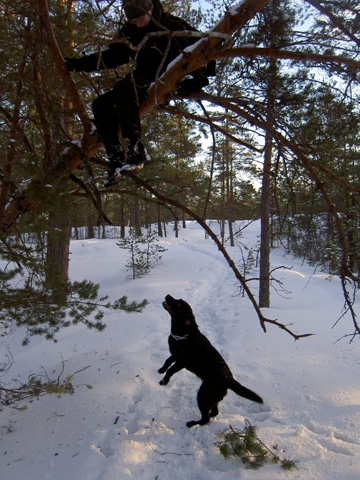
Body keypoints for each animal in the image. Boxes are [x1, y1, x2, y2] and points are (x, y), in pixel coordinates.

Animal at [159, 294, 262, 430]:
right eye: (178, 300)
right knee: (214, 412)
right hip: (212, 397)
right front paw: (161, 370)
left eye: (179, 304)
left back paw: (192, 423)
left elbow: (170, 370)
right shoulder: (175, 355)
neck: (183, 334)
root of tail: (229, 380)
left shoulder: (182, 362)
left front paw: (164, 381)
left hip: (203, 395)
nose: (168, 295)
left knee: (205, 418)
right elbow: (167, 361)